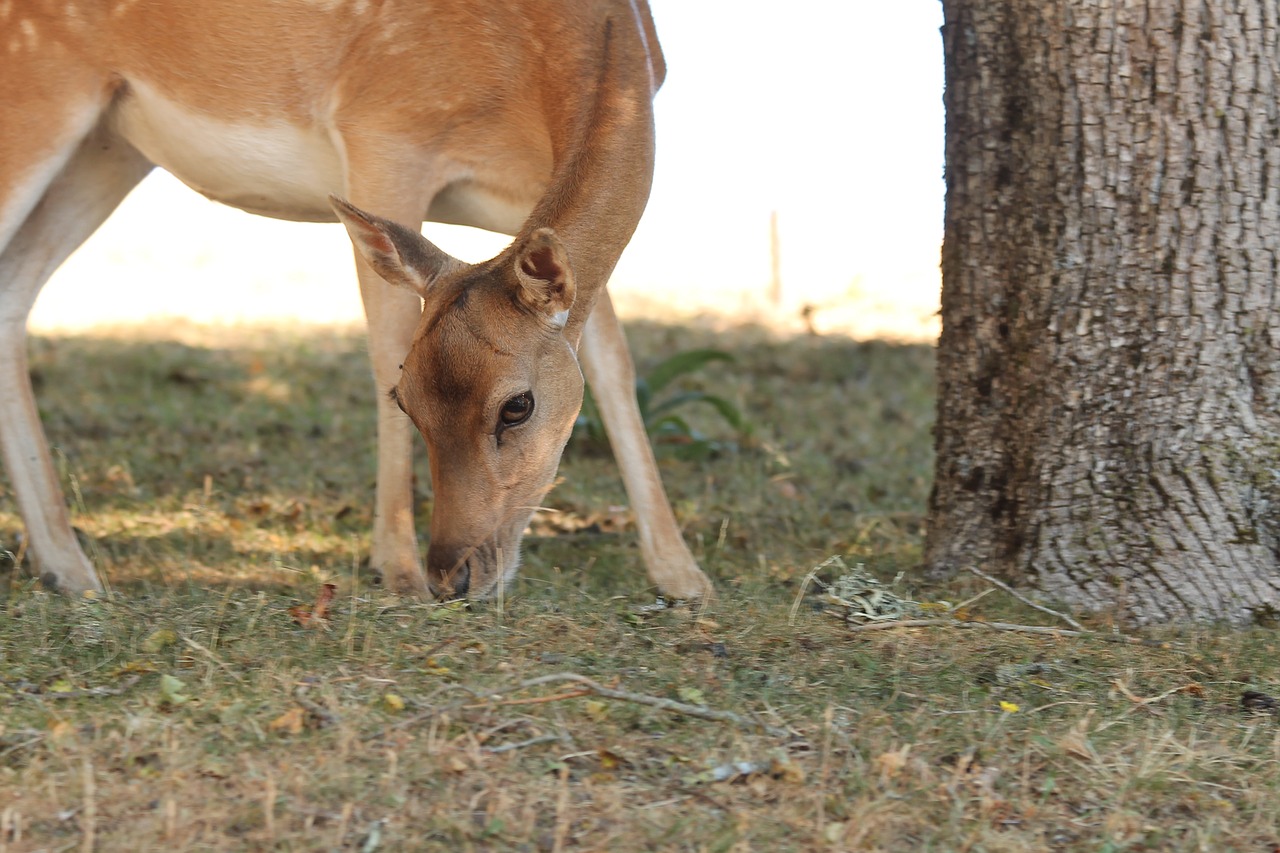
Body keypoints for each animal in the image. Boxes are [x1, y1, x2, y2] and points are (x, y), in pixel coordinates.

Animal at [0, 0, 716, 596]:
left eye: (518, 406)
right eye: (407, 399)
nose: (451, 576)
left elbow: (613, 363)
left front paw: (684, 576)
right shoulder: (384, 130)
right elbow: (384, 343)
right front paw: (393, 566)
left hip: (108, 145)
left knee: (14, 290)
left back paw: (69, 569)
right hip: (38, 91)